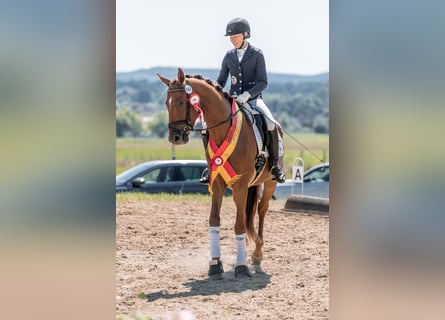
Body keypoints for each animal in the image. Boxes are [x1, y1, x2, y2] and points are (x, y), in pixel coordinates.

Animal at [158, 69, 280, 278]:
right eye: (167, 103)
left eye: (181, 102)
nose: (175, 137)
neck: (223, 130)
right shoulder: (217, 184)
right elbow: (214, 221)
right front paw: (215, 263)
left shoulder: (241, 185)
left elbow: (239, 224)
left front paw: (241, 266)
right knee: (249, 211)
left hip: (269, 182)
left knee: (262, 210)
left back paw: (257, 254)